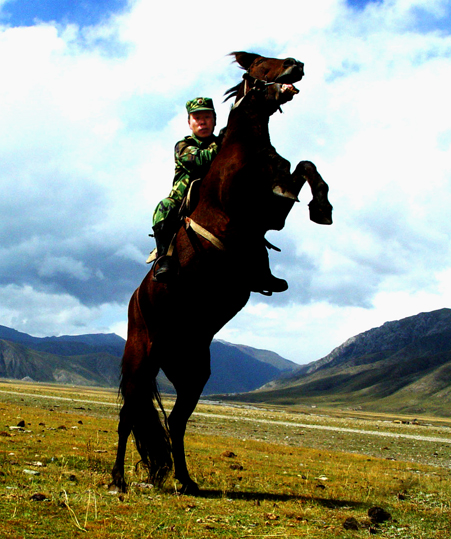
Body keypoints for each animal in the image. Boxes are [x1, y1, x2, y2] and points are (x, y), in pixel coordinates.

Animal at [111, 52, 334, 496]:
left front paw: (322, 206)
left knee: (175, 421)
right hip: (143, 359)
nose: (297, 63)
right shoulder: (265, 210)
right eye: (262, 65)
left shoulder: (273, 209)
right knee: (130, 416)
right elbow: (295, 176)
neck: (245, 150)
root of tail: (136, 302)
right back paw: (118, 478)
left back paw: (186, 480)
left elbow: (305, 164)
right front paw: (321, 207)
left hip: (193, 370)